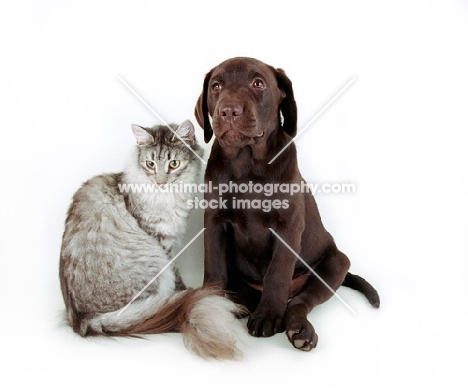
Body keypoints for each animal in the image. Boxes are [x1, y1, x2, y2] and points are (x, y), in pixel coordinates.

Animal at [58, 121, 245, 360]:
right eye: (150, 164)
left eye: (174, 164)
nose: (160, 182)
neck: (168, 198)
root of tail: (83, 318)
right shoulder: (162, 240)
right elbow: (176, 273)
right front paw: (182, 291)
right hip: (152, 262)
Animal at [195, 56, 380, 350]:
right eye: (216, 86)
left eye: (258, 83)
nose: (229, 111)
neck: (247, 164)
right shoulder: (214, 220)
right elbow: (214, 266)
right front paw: (209, 304)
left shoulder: (288, 226)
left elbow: (278, 271)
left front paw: (269, 315)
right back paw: (238, 304)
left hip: (335, 264)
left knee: (301, 301)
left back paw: (299, 329)